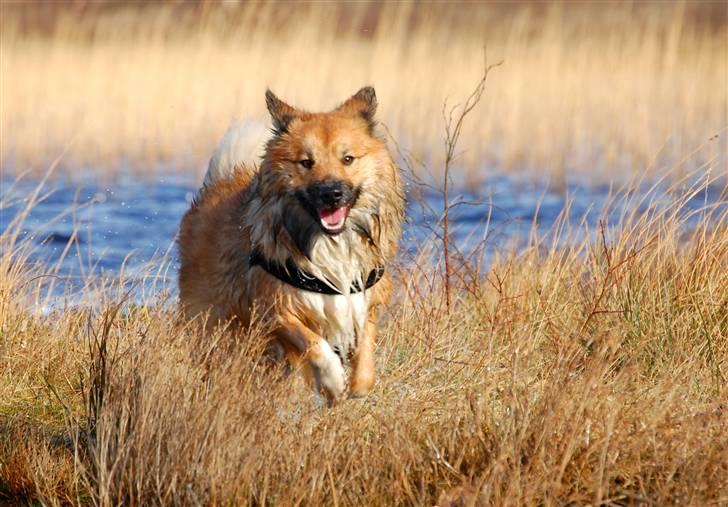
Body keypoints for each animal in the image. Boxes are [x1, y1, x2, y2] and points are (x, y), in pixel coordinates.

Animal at [176, 88, 404, 404]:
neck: (327, 242)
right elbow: (316, 344)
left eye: (348, 158)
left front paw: (355, 386)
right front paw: (332, 382)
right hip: (211, 319)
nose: (331, 193)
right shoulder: (275, 308)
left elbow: (365, 362)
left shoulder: (365, 302)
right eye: (306, 162)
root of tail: (220, 182)